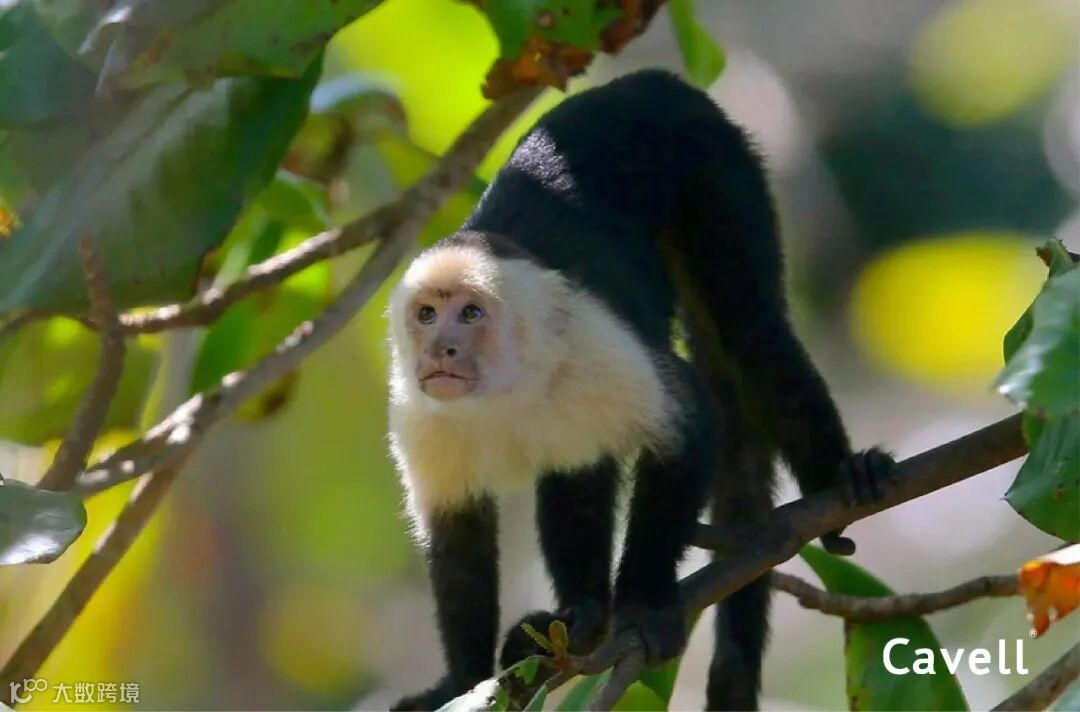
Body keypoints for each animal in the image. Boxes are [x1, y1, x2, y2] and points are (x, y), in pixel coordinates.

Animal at [385, 69, 895, 711]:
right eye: (427, 315)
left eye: (471, 314)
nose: (440, 351)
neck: (506, 386)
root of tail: (648, 80)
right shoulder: (420, 412)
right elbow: (457, 533)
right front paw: (462, 682)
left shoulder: (594, 344)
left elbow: (691, 422)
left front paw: (645, 607)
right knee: (576, 463)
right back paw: (580, 619)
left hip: (715, 162)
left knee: (751, 330)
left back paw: (840, 472)